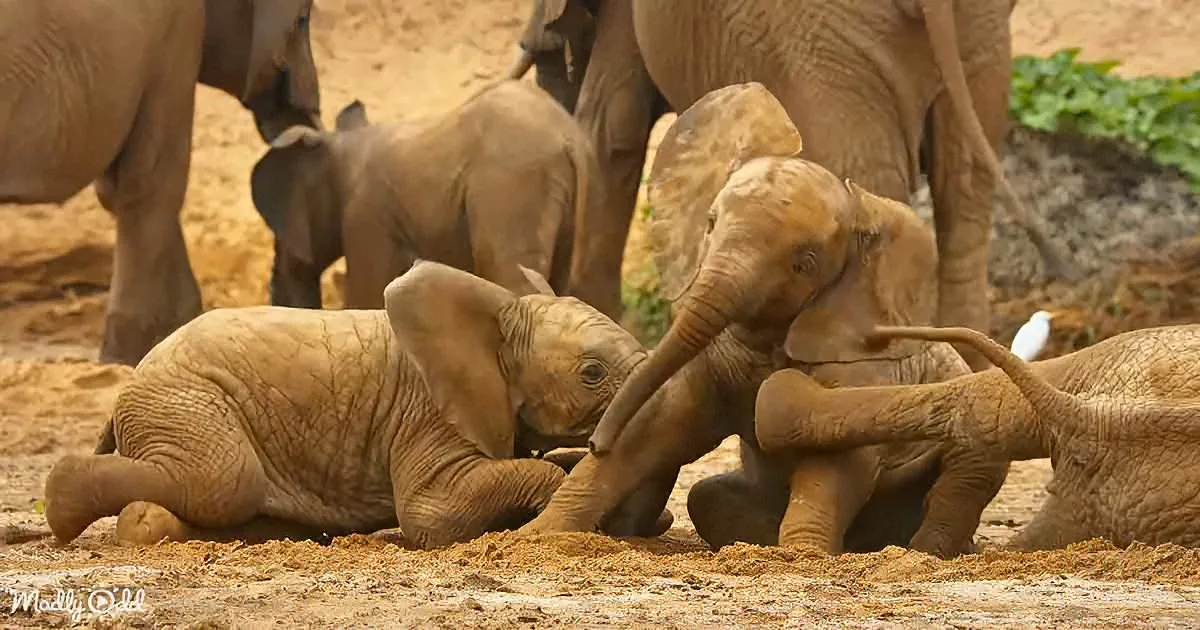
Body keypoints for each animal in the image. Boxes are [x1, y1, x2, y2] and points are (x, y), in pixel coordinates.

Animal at [44, 261, 669, 549]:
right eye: (592, 374)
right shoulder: (429, 411)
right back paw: (66, 502)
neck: (499, 313)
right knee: (226, 479)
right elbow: (431, 513)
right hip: (185, 401)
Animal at [517, 83, 1009, 559]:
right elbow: (658, 421)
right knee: (707, 498)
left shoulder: (859, 360)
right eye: (710, 221)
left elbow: (839, 455)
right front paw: (537, 536)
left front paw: (802, 555)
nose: (594, 441)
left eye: (804, 263)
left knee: (969, 470)